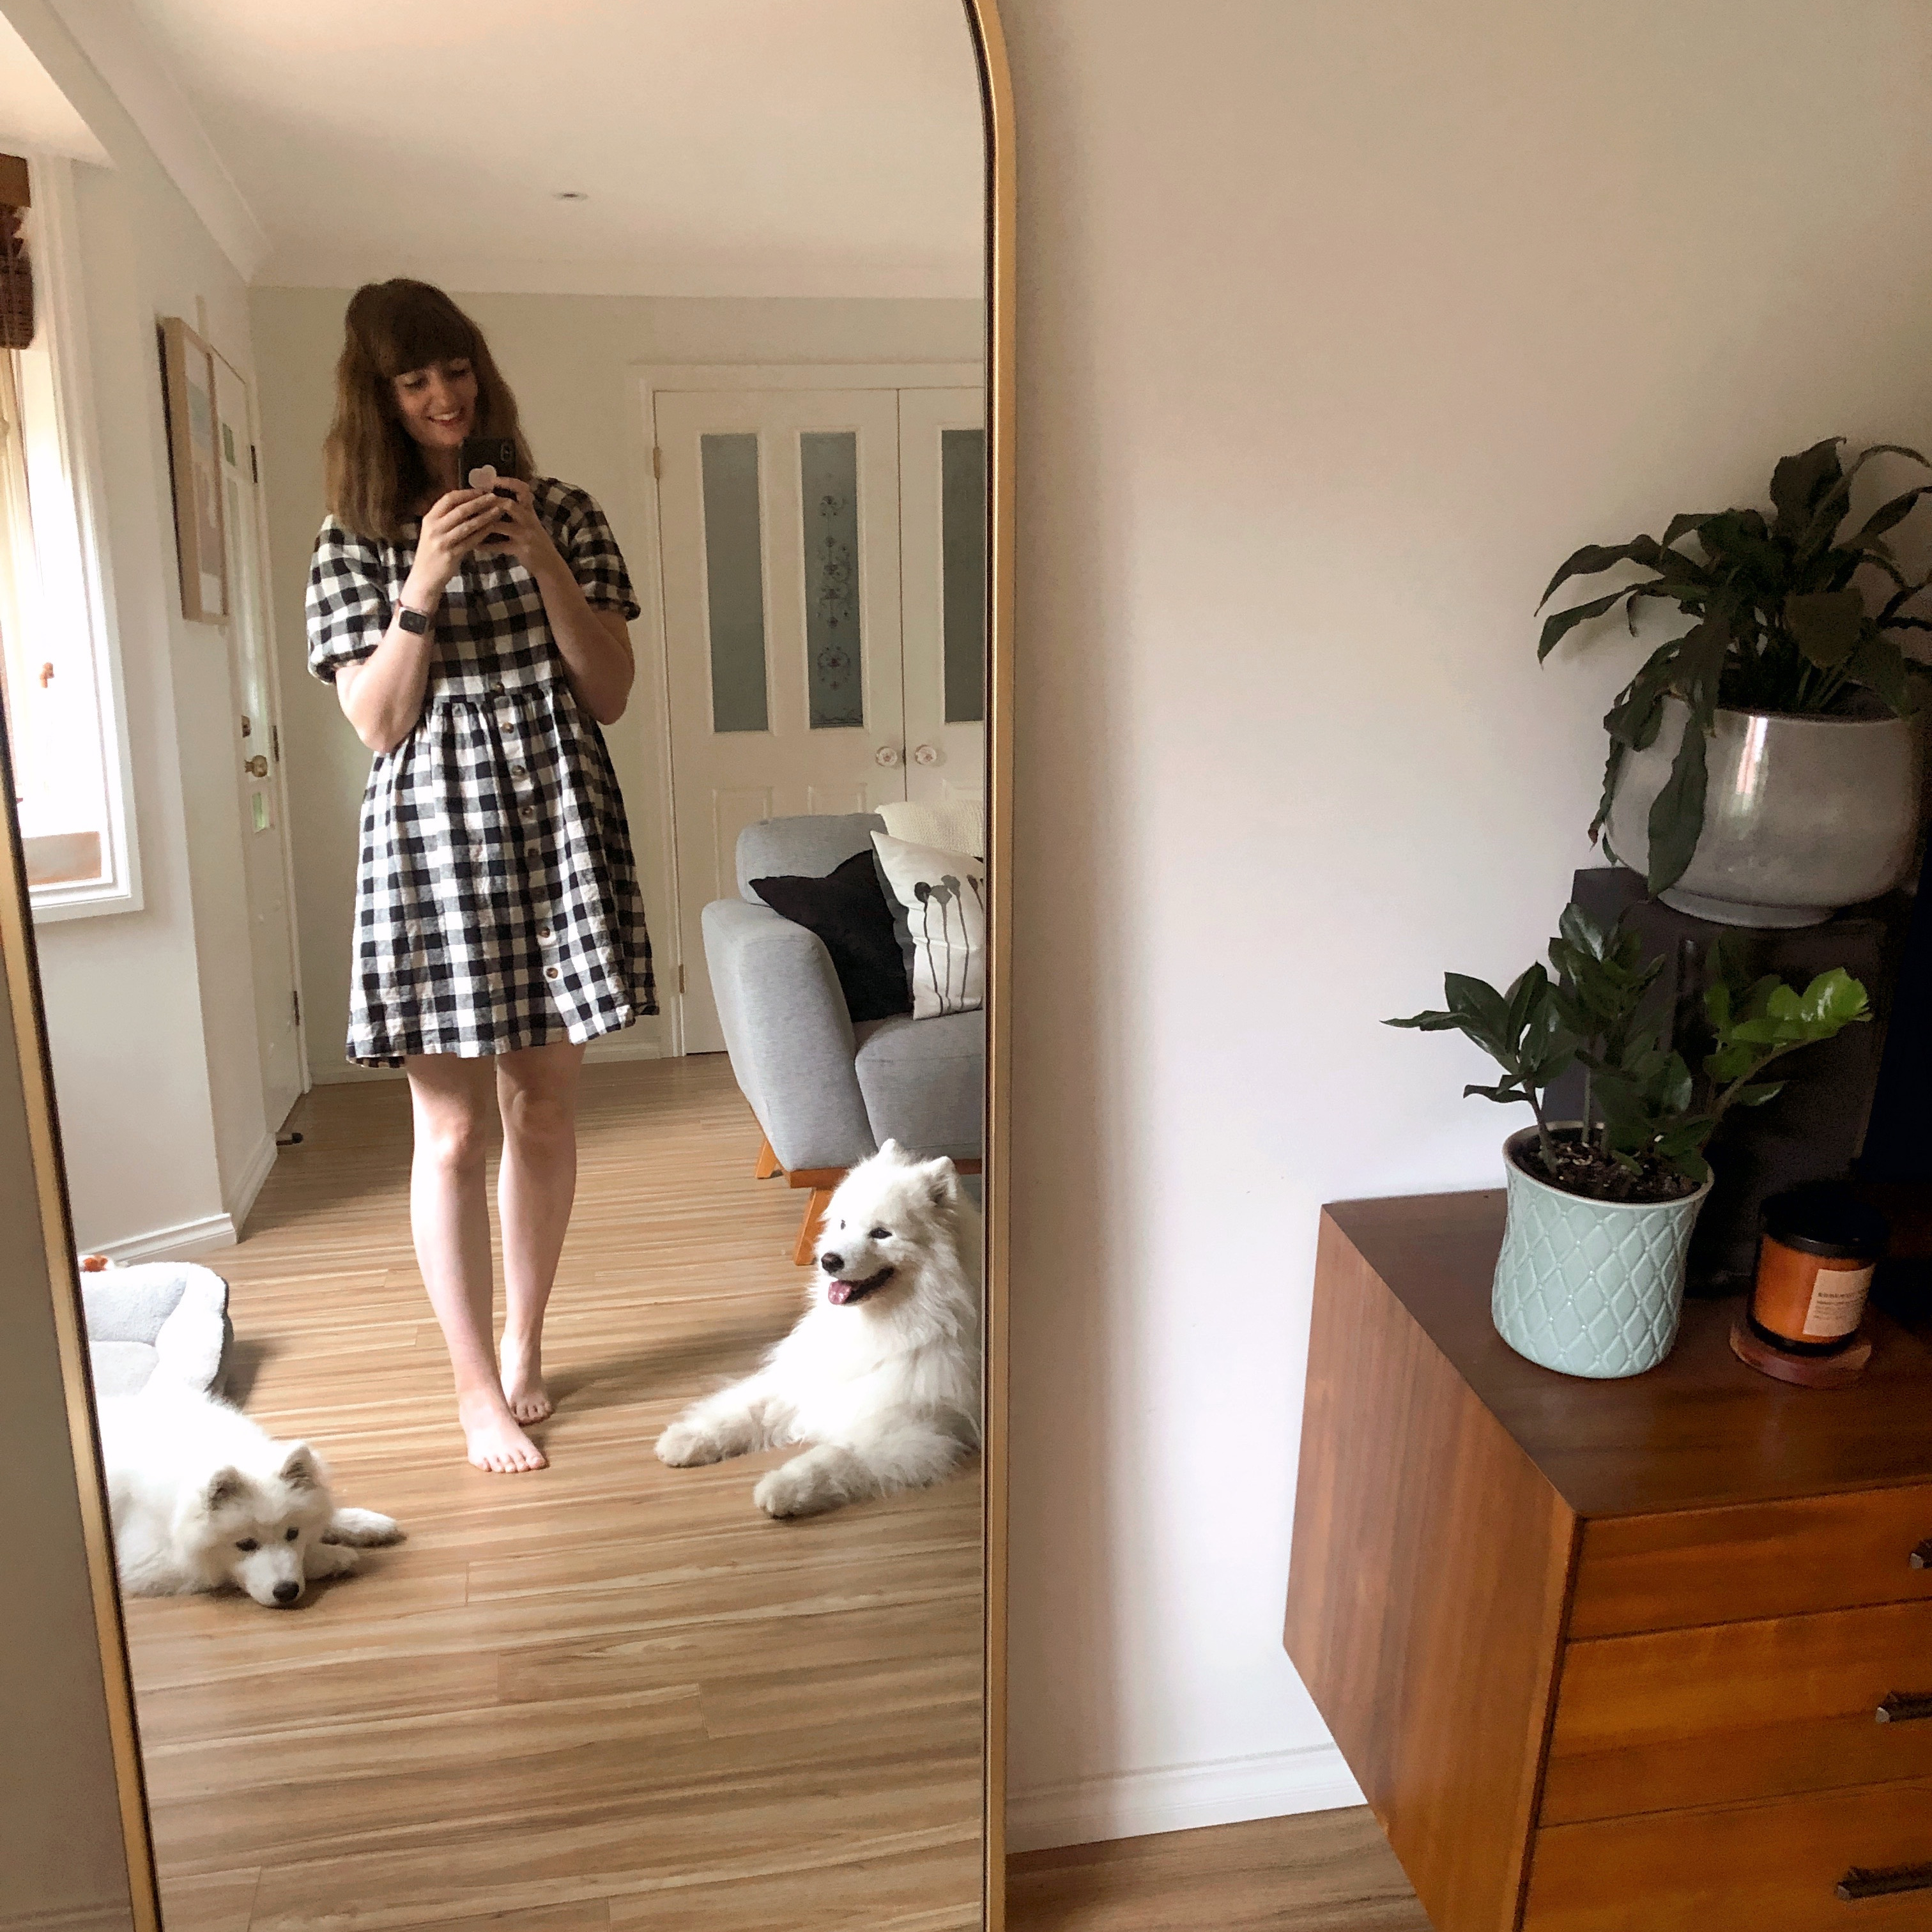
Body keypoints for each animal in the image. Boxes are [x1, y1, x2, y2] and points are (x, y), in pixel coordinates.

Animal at [98, 1383, 404, 1607]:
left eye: (292, 1533)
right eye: (245, 1544)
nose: (286, 1592)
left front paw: (370, 1525)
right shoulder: (147, 1561)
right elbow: (210, 1570)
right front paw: (334, 1557)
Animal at [657, 1136, 981, 1514]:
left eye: (881, 1233)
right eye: (843, 1224)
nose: (828, 1260)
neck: (875, 1322)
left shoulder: (908, 1428)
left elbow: (833, 1457)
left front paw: (782, 1488)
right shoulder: (805, 1377)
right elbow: (743, 1411)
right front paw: (686, 1438)